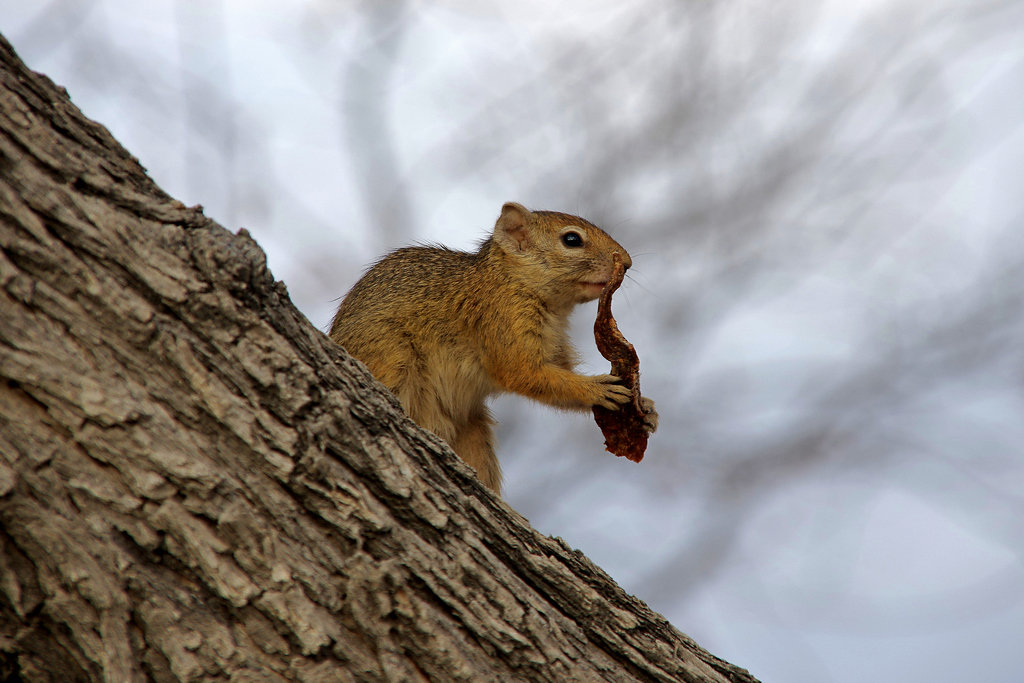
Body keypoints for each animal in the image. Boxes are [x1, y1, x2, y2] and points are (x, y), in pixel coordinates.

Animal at [331, 200, 659, 493]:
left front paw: (647, 408)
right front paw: (597, 389)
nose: (626, 263)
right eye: (571, 239)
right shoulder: (502, 321)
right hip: (391, 356)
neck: (513, 281)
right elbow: (525, 374)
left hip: (473, 431)